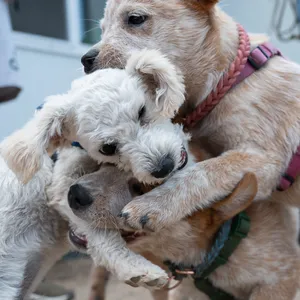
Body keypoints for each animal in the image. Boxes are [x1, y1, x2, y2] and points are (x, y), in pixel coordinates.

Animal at [81, 0, 300, 232]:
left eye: (135, 18)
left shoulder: (265, 161)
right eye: (102, 29)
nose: (85, 60)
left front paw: (152, 204)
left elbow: (202, 172)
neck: (229, 80)